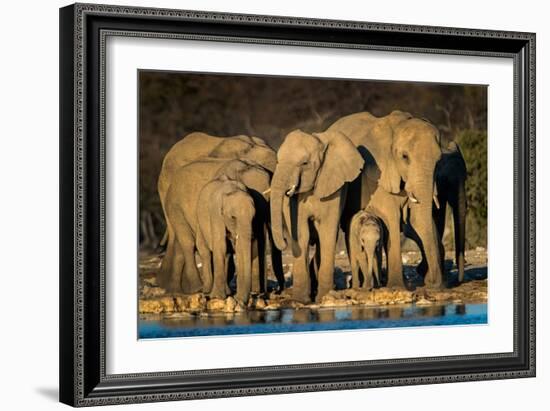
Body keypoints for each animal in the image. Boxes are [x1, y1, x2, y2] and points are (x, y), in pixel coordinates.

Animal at [272, 130, 366, 304]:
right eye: (277, 161)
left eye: (304, 163)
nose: (284, 243)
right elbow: (302, 233)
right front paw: (301, 301)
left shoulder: (334, 190)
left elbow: (327, 232)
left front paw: (324, 297)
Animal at [330, 111, 446, 288]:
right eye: (405, 157)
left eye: (438, 161)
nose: (432, 282)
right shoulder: (377, 174)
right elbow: (391, 216)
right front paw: (397, 286)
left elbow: (417, 218)